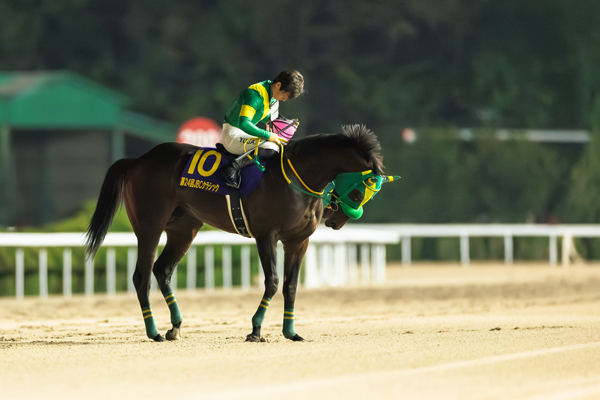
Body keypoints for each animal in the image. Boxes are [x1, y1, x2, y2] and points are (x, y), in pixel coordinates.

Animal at [84, 124, 384, 340]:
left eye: (368, 195)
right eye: (359, 191)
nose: (337, 220)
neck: (297, 177)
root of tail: (137, 160)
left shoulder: (298, 241)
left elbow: (291, 285)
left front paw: (290, 332)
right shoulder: (266, 235)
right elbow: (273, 281)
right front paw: (256, 330)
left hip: (184, 229)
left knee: (162, 270)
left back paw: (175, 326)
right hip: (150, 226)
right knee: (141, 276)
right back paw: (154, 332)